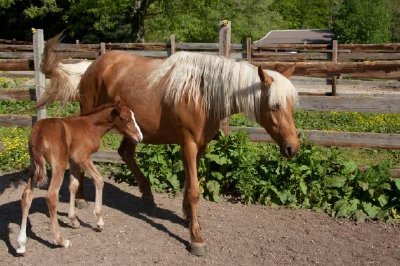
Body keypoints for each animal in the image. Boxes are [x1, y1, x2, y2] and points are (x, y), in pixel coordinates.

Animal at [16, 98, 143, 255]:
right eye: (126, 119)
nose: (140, 137)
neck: (91, 126)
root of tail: (39, 133)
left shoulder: (73, 160)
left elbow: (73, 186)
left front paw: (74, 220)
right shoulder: (82, 157)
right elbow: (99, 180)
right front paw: (99, 221)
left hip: (34, 166)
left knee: (27, 195)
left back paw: (21, 244)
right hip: (58, 164)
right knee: (51, 196)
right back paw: (61, 241)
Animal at [39, 35, 300, 256]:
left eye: (290, 105)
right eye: (274, 106)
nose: (293, 148)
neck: (201, 94)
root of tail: (91, 67)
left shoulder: (200, 146)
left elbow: (189, 184)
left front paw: (187, 216)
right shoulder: (189, 143)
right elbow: (194, 190)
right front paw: (196, 238)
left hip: (130, 128)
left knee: (125, 153)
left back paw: (147, 194)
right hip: (90, 115)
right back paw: (82, 199)